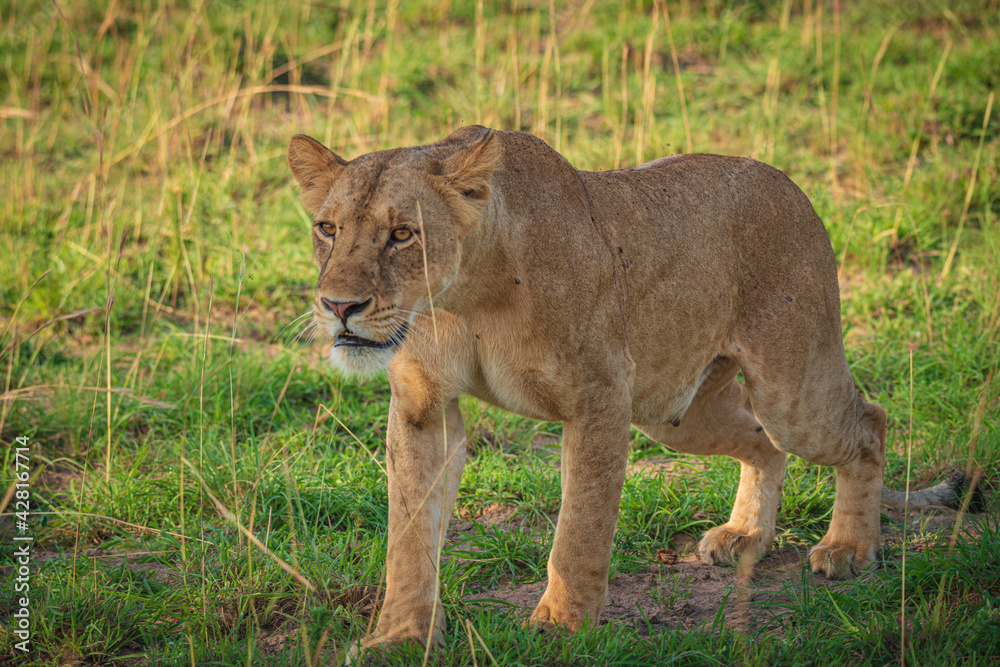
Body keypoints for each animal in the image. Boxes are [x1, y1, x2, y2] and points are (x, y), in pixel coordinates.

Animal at [287, 126, 975, 647]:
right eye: (328, 229)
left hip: (790, 388)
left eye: (403, 234)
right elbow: (409, 534)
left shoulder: (600, 398)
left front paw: (562, 628)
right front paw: (398, 638)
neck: (465, 296)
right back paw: (746, 535)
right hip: (676, 412)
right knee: (763, 442)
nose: (339, 306)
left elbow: (580, 529)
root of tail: (789, 182)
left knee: (867, 423)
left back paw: (849, 548)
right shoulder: (423, 407)